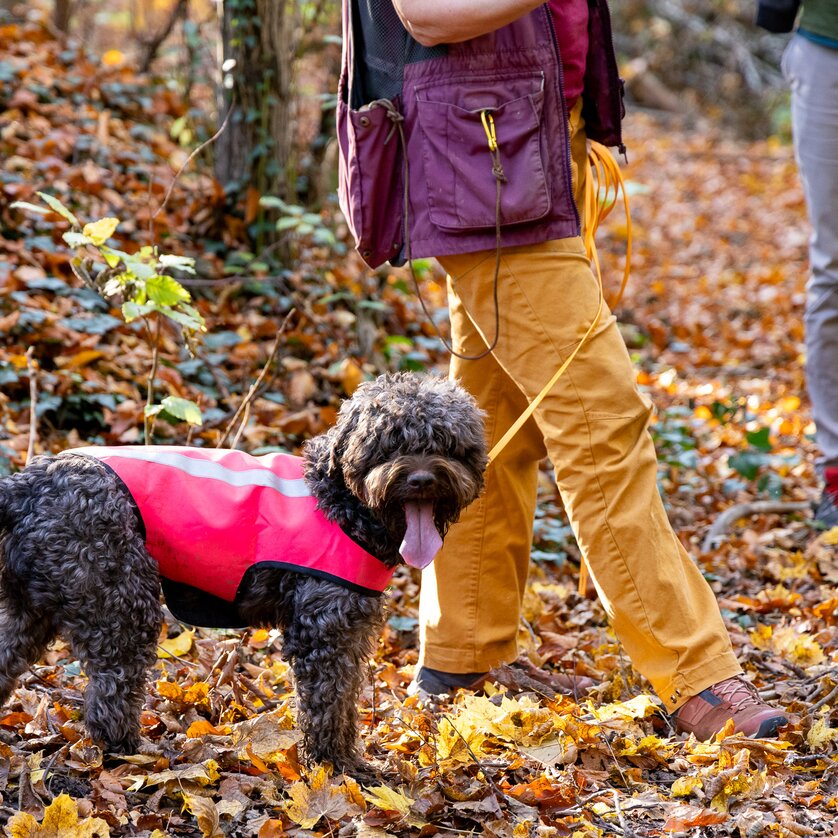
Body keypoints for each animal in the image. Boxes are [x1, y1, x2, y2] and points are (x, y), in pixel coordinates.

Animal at [0, 378, 486, 776]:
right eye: (388, 445)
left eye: (446, 443)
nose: (421, 479)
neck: (339, 501)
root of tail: (26, 485)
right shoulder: (325, 632)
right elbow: (329, 704)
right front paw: (337, 766)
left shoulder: (351, 631)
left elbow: (346, 699)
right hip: (120, 604)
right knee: (109, 694)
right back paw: (129, 753)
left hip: (29, 611)